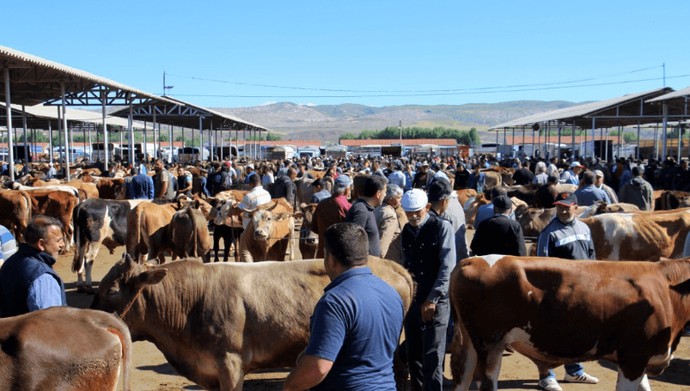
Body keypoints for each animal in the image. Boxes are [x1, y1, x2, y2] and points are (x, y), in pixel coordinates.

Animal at [446, 254, 690, 391]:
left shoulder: (640, 359)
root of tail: (471, 260)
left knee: (461, 380)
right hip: (490, 344)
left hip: (470, 344)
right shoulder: (633, 357)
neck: (666, 288)